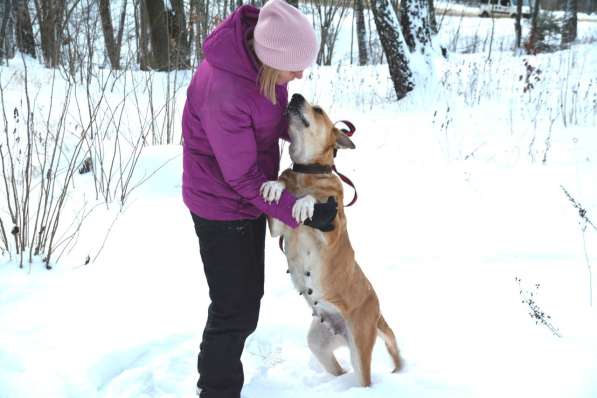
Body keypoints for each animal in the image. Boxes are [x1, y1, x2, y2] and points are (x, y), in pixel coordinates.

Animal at [260, 93, 402, 386]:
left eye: (318, 110)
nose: (295, 96)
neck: (307, 173)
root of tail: (377, 311)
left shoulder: (332, 233)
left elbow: (314, 202)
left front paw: (305, 203)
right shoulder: (278, 229)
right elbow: (281, 185)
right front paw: (276, 185)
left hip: (360, 346)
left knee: (363, 379)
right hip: (319, 344)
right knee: (339, 370)